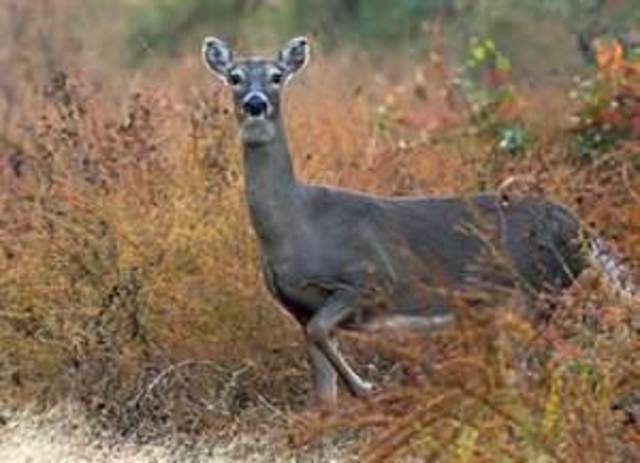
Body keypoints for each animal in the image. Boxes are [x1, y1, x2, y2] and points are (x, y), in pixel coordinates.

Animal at [201, 36, 636, 406]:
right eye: (234, 77)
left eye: (277, 76)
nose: (255, 103)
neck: (293, 226)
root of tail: (583, 230)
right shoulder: (297, 307)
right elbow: (322, 389)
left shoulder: (369, 278)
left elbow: (324, 332)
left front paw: (366, 387)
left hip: (536, 289)